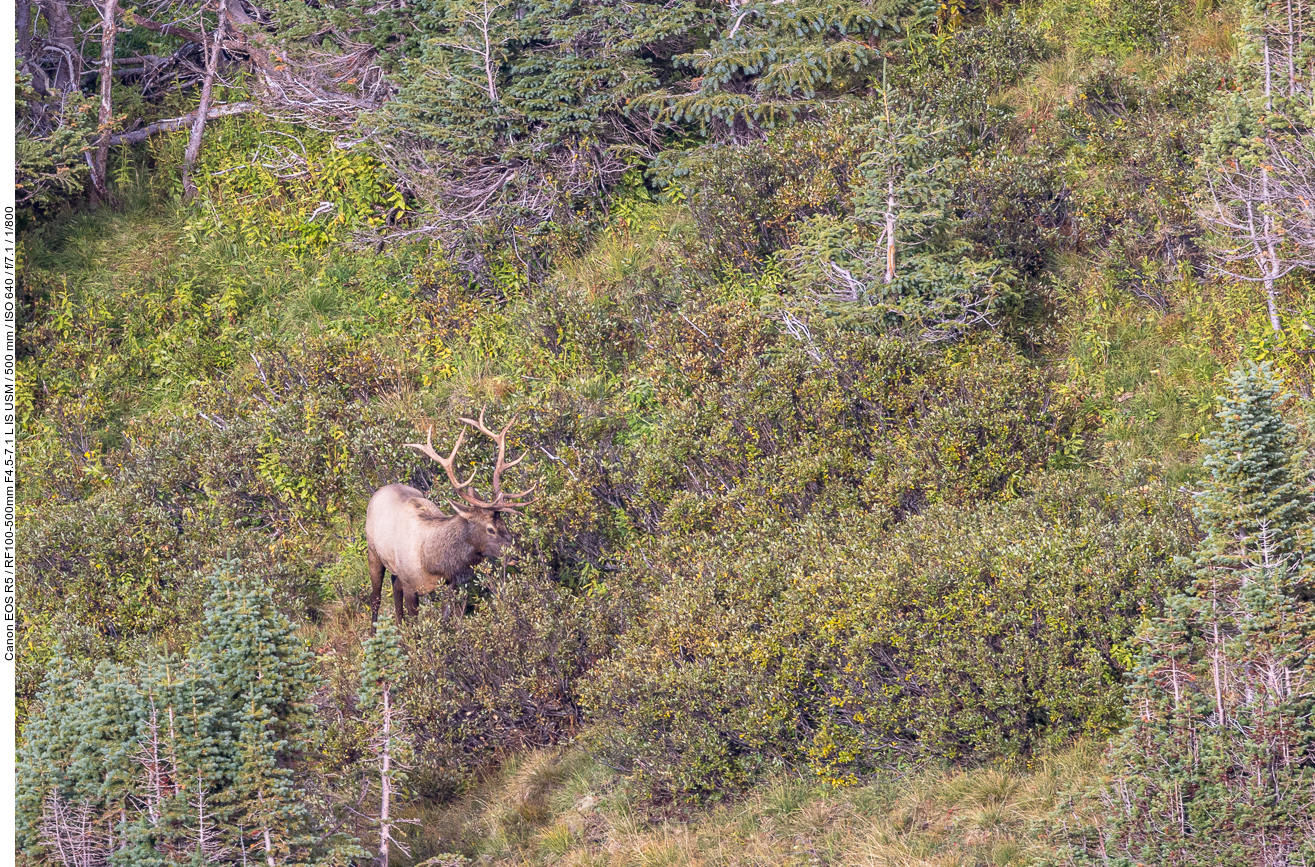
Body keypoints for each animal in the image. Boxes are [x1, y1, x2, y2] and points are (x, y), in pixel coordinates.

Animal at [365, 413, 533, 623]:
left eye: (504, 524)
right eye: (490, 529)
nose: (518, 555)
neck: (433, 562)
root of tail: (380, 490)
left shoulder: (451, 583)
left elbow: (447, 619)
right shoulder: (412, 586)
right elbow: (415, 624)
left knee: (395, 588)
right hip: (373, 552)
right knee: (376, 598)